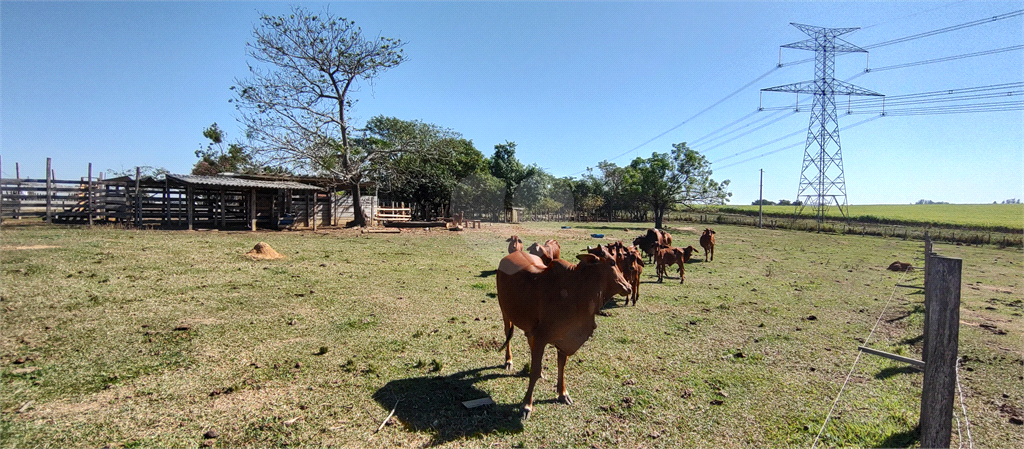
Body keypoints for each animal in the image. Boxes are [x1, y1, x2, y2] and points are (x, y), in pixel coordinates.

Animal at [497, 246, 630, 418]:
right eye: (612, 262)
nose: (628, 287)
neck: (577, 291)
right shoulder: (542, 336)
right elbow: (534, 370)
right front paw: (526, 405)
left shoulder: (565, 339)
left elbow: (562, 365)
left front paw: (563, 393)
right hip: (505, 312)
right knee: (509, 334)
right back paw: (508, 361)